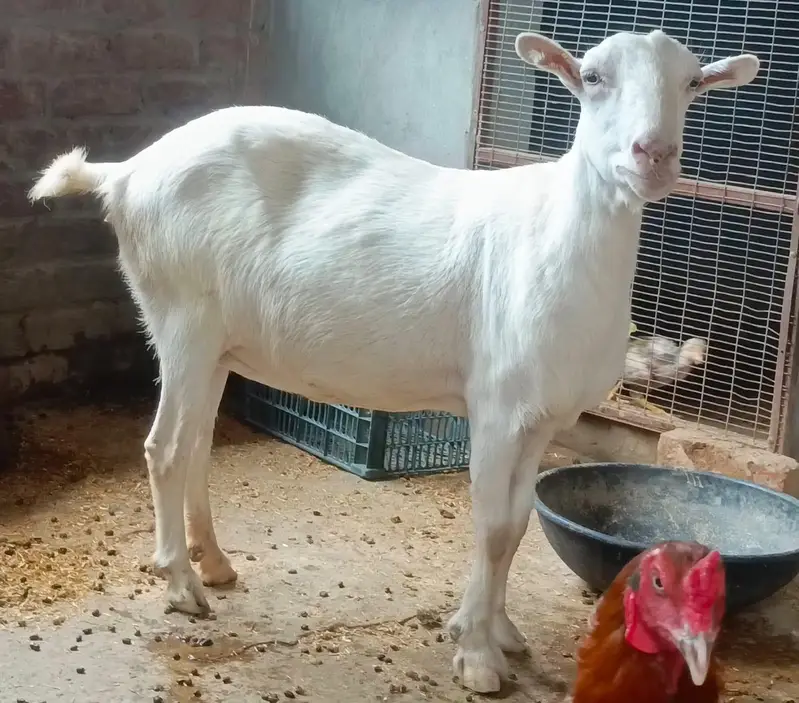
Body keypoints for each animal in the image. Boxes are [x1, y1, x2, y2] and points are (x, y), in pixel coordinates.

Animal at [28, 30, 758, 693]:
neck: (556, 233)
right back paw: (181, 585)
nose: (653, 154)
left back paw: (213, 562)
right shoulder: (498, 406)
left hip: (215, 344)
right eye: (593, 76)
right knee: (165, 448)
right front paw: (477, 655)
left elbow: (518, 525)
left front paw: (501, 632)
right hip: (181, 317)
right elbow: (493, 526)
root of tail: (126, 173)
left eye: (693, 82)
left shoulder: (541, 416)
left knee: (198, 444)